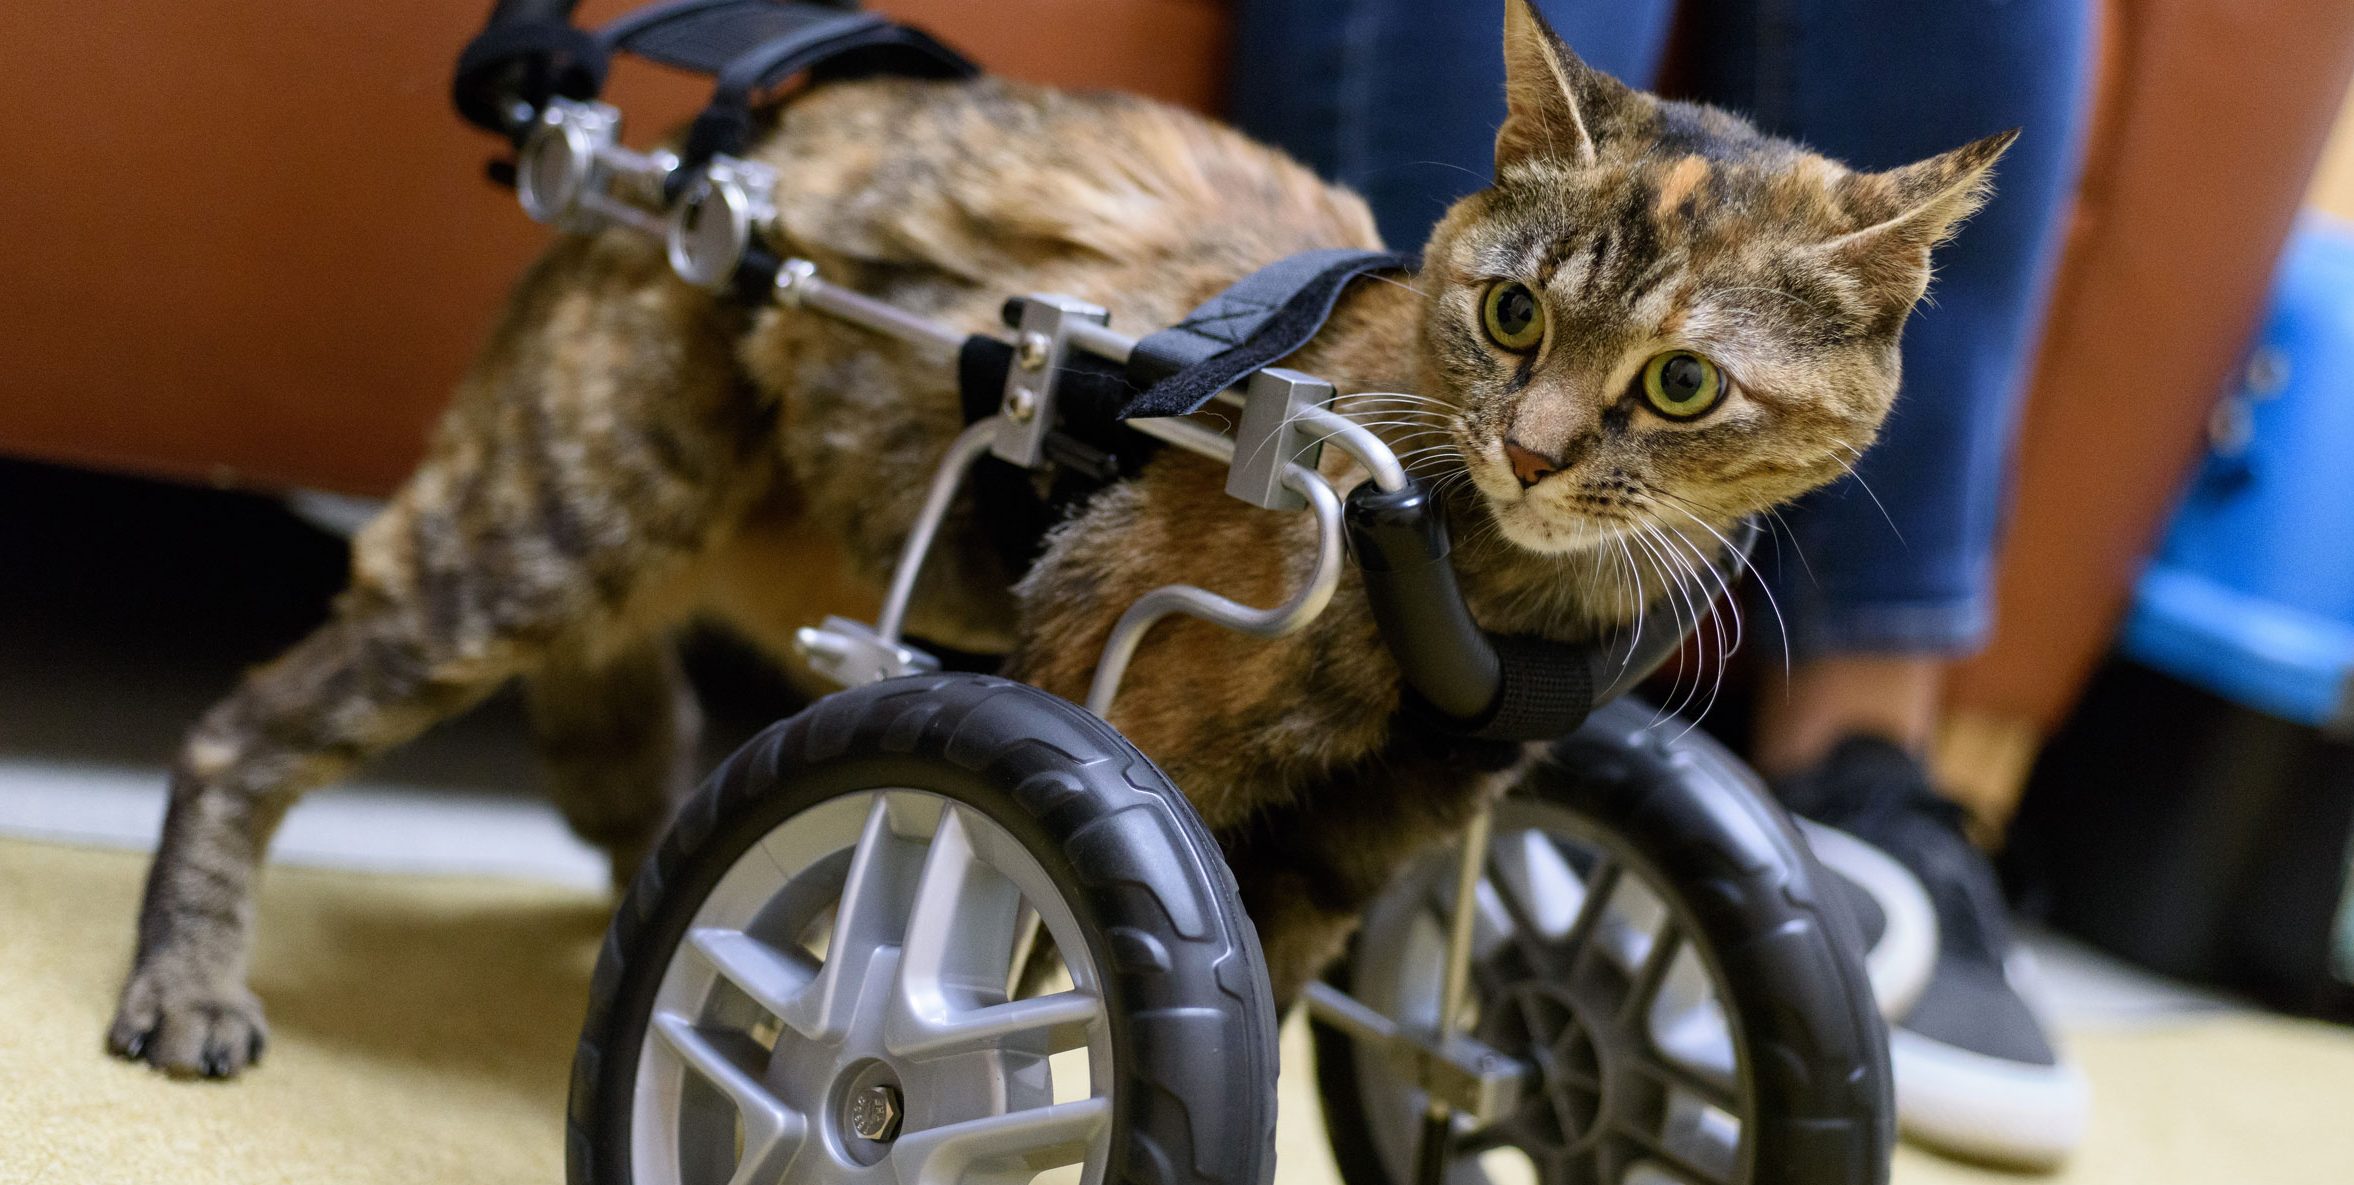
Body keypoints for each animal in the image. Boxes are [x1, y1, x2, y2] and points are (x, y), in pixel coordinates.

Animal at [101, 0, 1996, 1074]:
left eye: (1679, 384)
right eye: (1513, 315)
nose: (1529, 449)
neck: (1470, 579)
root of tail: (670, 158)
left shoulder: (1348, 851)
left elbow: (1277, 1013)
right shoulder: (1098, 681)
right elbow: (1017, 985)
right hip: (554, 523)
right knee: (242, 729)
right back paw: (189, 984)